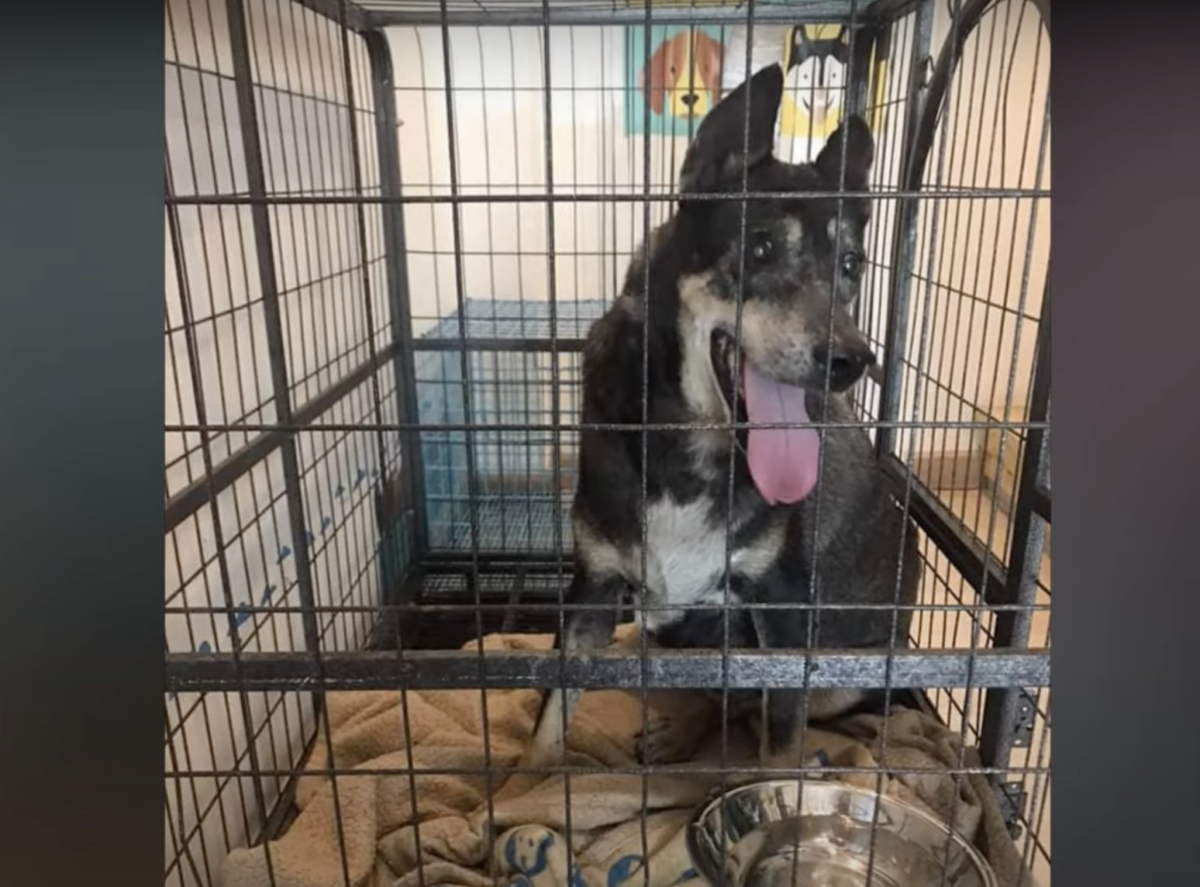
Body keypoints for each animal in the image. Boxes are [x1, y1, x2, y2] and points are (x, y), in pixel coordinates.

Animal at [522, 64, 920, 771]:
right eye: (759, 248)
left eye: (851, 265)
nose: (851, 361)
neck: (693, 449)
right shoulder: (593, 587)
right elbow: (549, 722)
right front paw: (515, 789)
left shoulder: (783, 606)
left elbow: (780, 739)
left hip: (853, 670)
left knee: (755, 708)